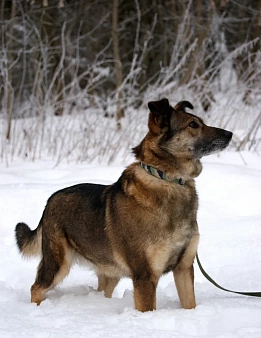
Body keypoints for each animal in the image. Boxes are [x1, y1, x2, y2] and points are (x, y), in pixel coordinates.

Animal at [14, 97, 232, 312]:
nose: (230, 134)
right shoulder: (145, 277)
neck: (167, 179)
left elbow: (190, 304)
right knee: (36, 287)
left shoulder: (184, 269)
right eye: (193, 124)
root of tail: (51, 200)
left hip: (110, 273)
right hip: (58, 264)